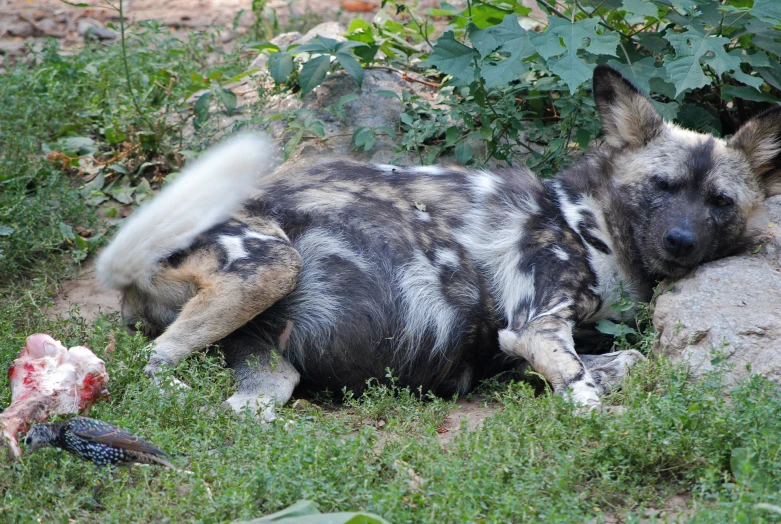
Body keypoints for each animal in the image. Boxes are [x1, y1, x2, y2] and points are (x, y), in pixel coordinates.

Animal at [96, 66, 780, 418]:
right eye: (662, 186)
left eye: (720, 202)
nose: (680, 240)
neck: (590, 222)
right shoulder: (536, 327)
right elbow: (583, 387)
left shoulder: (527, 343)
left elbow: (626, 359)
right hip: (269, 265)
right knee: (152, 366)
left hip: (267, 374)